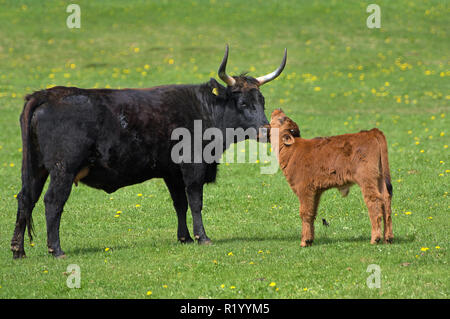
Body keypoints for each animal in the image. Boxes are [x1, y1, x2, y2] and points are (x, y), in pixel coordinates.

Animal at [11, 46, 288, 258]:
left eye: (262, 101)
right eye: (243, 103)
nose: (266, 131)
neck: (205, 109)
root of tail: (48, 94)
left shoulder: (172, 172)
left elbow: (180, 204)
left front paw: (185, 237)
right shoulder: (193, 167)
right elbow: (195, 201)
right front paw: (202, 237)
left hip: (37, 169)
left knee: (26, 198)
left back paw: (18, 251)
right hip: (63, 170)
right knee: (52, 202)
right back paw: (56, 250)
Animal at [268, 110, 392, 248]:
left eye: (282, 119)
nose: (277, 109)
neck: (292, 151)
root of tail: (371, 132)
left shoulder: (304, 189)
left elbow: (305, 212)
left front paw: (304, 241)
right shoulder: (315, 191)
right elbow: (312, 213)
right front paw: (310, 239)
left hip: (367, 178)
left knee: (374, 200)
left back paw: (375, 238)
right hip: (380, 178)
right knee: (386, 199)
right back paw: (388, 238)